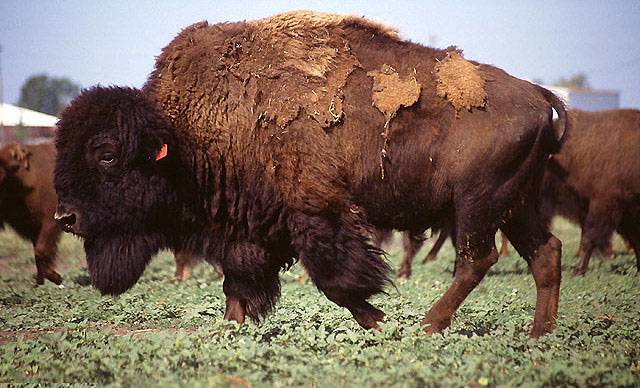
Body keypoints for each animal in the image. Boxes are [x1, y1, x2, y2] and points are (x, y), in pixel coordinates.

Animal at [0, 142, 63, 284]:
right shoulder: (34, 226)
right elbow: (38, 253)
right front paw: (40, 282)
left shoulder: (50, 222)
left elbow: (41, 250)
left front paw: (56, 277)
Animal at [53, 10, 564, 338]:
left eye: (105, 155)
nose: (65, 217)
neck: (180, 137)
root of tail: (540, 95)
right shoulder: (246, 232)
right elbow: (237, 286)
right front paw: (229, 332)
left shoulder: (316, 215)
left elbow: (337, 281)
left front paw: (380, 322)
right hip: (514, 207)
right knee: (546, 253)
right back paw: (537, 335)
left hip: (477, 205)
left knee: (476, 260)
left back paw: (428, 325)